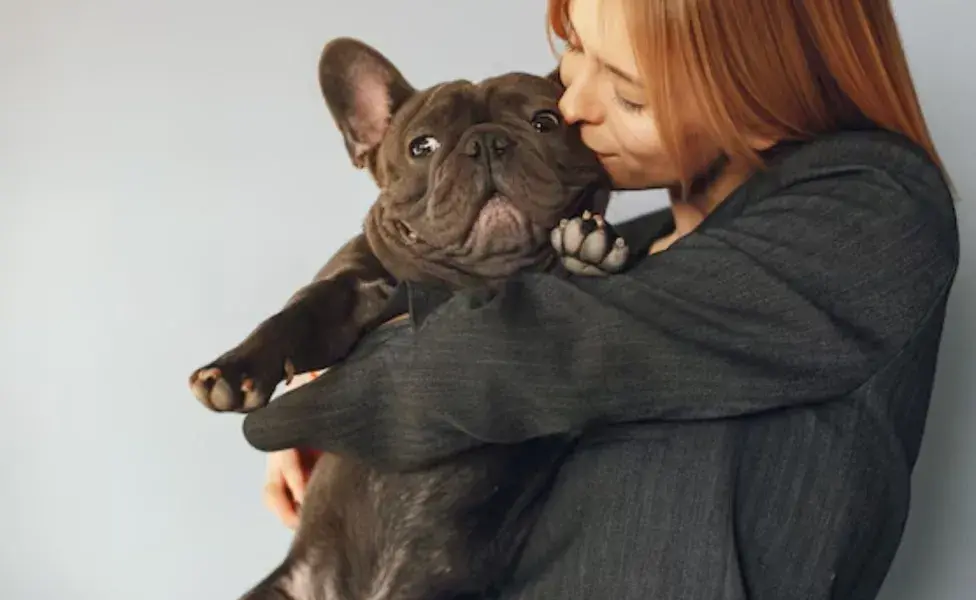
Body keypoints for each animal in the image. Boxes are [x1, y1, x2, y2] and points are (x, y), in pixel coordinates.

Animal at [190, 38, 632, 600]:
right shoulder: (347, 287)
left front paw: (587, 247)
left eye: (546, 122)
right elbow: (298, 313)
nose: (486, 142)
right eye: (422, 146)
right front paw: (234, 369)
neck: (473, 281)